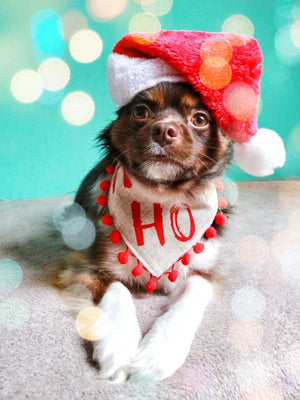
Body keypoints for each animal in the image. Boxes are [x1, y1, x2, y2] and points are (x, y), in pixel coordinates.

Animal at [56, 80, 234, 382]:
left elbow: (191, 295)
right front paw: (119, 347)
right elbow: (117, 290)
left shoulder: (206, 270)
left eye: (200, 119)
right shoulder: (85, 265)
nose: (164, 131)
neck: (161, 199)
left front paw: (158, 354)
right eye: (141, 111)